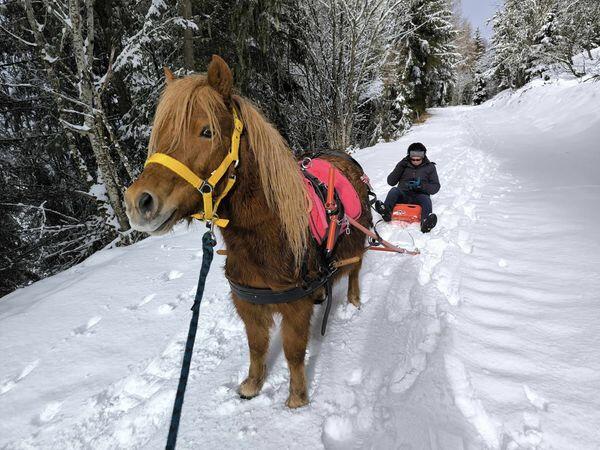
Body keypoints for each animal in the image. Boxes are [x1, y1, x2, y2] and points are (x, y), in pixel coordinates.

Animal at [125, 55, 372, 408]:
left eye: (207, 131)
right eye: (160, 134)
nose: (139, 202)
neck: (267, 236)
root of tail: (345, 158)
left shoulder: (293, 308)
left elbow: (293, 352)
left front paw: (297, 397)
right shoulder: (248, 304)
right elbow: (256, 347)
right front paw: (252, 385)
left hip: (357, 242)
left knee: (354, 270)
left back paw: (352, 300)